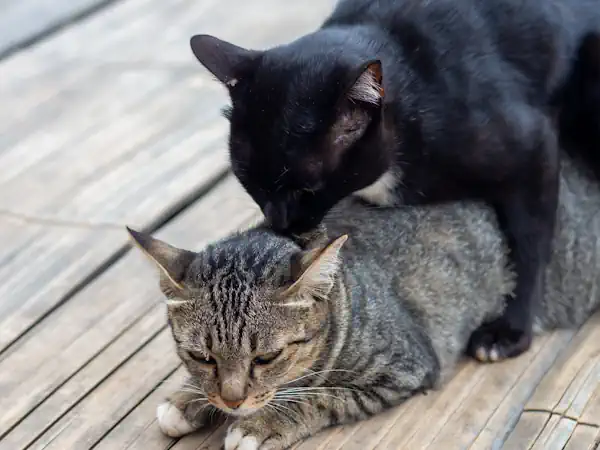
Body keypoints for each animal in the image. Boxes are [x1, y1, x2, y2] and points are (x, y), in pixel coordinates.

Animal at [129, 156, 600, 450]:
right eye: (201, 357)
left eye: (266, 358)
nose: (231, 402)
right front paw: (189, 399)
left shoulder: (405, 367)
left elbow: (321, 397)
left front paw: (261, 424)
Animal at [190, 0, 600, 362]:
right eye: (249, 182)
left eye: (306, 189)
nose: (279, 222)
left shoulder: (534, 151)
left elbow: (530, 246)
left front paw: (510, 329)